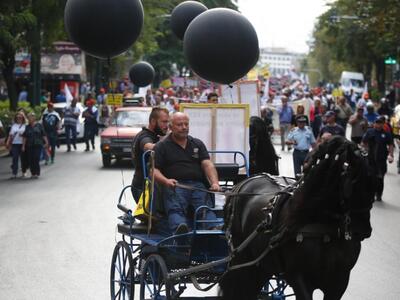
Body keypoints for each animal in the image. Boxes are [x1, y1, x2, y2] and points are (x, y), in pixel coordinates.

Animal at [220, 136, 374, 300]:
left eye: (372, 183)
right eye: (353, 182)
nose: (364, 231)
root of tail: (243, 183)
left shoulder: (339, 281)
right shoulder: (299, 278)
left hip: (261, 265)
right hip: (243, 261)